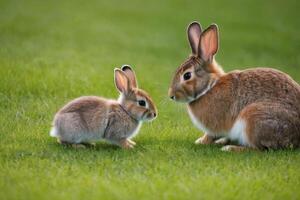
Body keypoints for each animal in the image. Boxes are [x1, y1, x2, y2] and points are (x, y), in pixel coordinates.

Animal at [169, 21, 300, 152]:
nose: (171, 96)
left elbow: (211, 135)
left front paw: (201, 141)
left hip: (254, 119)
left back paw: (230, 148)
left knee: (258, 149)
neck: (209, 87)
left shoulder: (216, 126)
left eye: (187, 76)